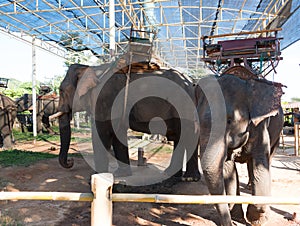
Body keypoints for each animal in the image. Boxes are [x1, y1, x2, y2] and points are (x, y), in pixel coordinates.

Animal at [52, 63, 200, 180]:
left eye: (61, 90)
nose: (70, 161)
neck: (92, 68)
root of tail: (192, 82)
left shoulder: (105, 97)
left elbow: (103, 132)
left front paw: (97, 178)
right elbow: (118, 133)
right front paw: (120, 175)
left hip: (184, 106)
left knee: (188, 136)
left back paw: (188, 178)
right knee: (180, 137)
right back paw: (171, 174)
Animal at [195, 74, 284, 226]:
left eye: (229, 120)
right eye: (198, 122)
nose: (230, 224)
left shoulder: (260, 128)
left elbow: (260, 166)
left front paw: (256, 219)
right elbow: (228, 169)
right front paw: (237, 217)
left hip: (277, 134)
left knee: (267, 160)